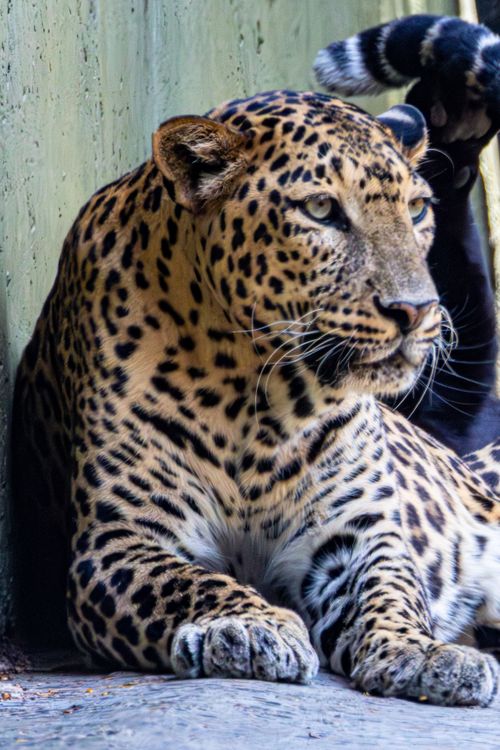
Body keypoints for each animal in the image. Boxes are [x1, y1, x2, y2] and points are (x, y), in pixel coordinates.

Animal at [12, 15, 500, 706]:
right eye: (321, 210)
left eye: (416, 209)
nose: (415, 310)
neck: (259, 394)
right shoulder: (119, 541)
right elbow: (190, 582)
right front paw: (249, 625)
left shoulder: (356, 535)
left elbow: (391, 589)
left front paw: (423, 651)